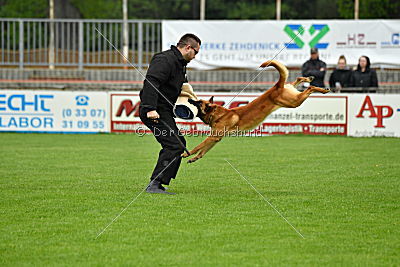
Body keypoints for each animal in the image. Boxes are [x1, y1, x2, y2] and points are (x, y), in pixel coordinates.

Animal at [183, 60, 330, 163]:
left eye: (198, 102)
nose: (189, 99)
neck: (218, 114)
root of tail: (277, 86)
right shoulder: (216, 138)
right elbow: (203, 151)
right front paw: (194, 158)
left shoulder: (213, 137)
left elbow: (198, 146)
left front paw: (186, 153)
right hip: (292, 94)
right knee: (298, 80)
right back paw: (309, 79)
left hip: (293, 102)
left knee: (310, 88)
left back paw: (321, 89)